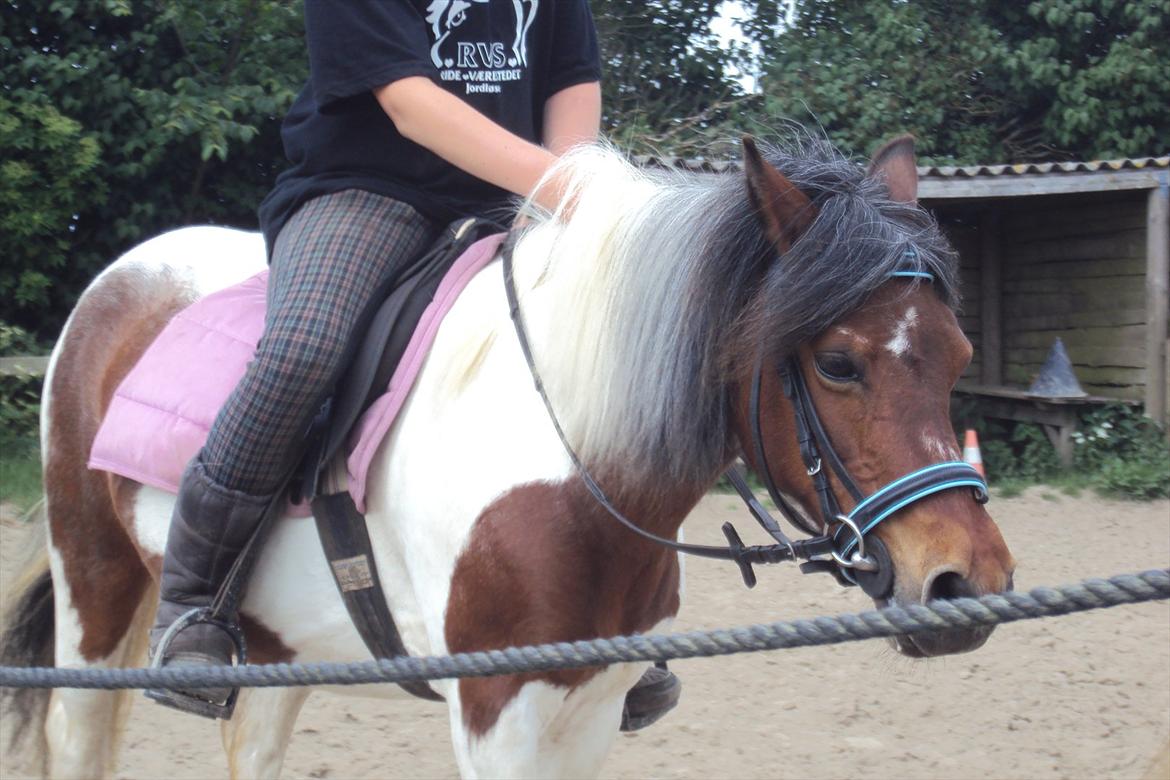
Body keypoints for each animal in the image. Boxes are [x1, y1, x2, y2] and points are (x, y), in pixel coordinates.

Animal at [1, 134, 1015, 778]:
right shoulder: (497, 709)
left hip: (281, 644)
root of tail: (122, 278)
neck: (571, 465)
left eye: (961, 353)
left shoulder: (592, 700)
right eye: (839, 362)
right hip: (96, 595)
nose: (966, 583)